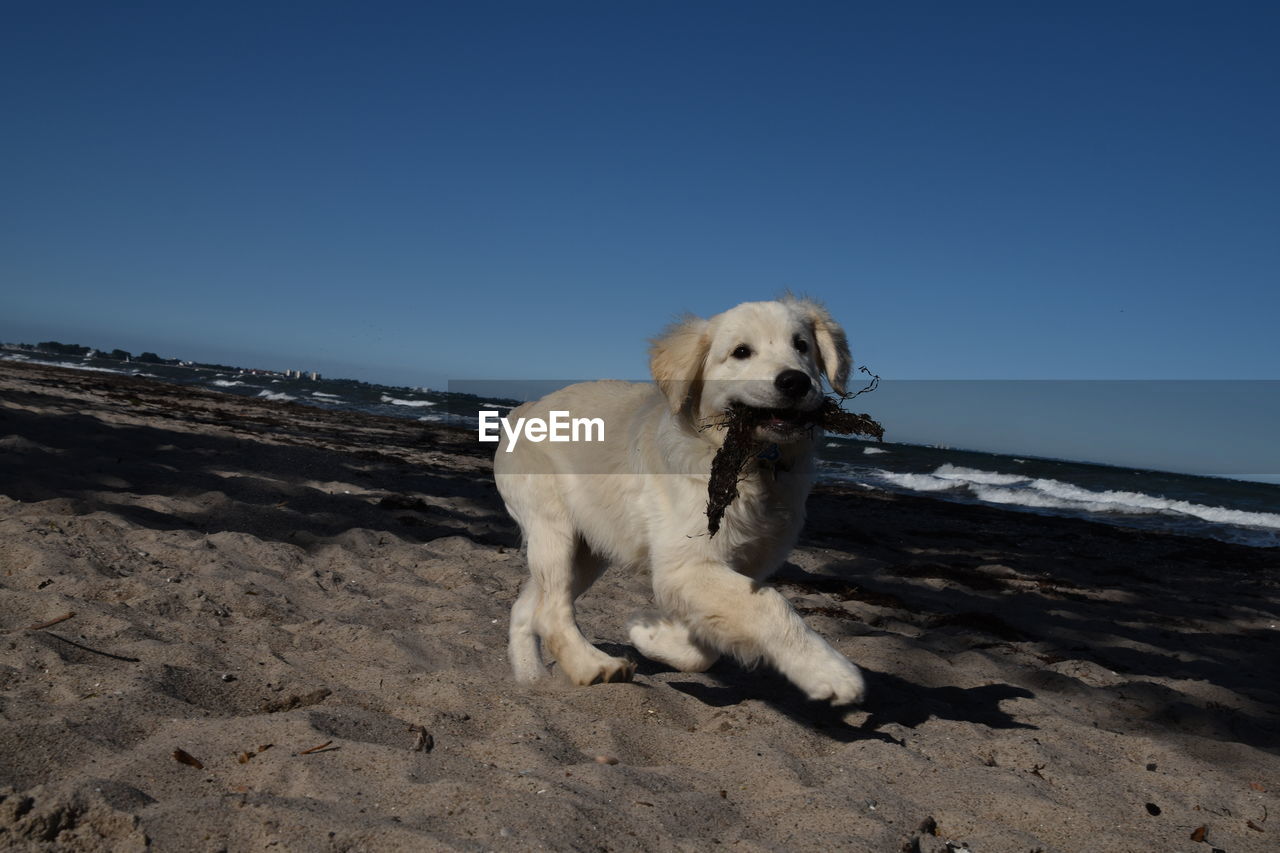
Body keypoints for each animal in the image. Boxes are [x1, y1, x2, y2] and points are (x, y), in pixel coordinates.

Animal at [494, 295, 865, 701]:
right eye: (741, 352)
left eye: (801, 346)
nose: (795, 381)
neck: (752, 465)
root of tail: (524, 409)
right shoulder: (685, 564)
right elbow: (769, 606)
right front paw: (830, 672)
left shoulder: (744, 565)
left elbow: (709, 647)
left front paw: (651, 635)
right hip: (553, 528)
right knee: (550, 612)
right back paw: (593, 666)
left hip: (589, 548)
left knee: (528, 609)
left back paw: (531, 678)